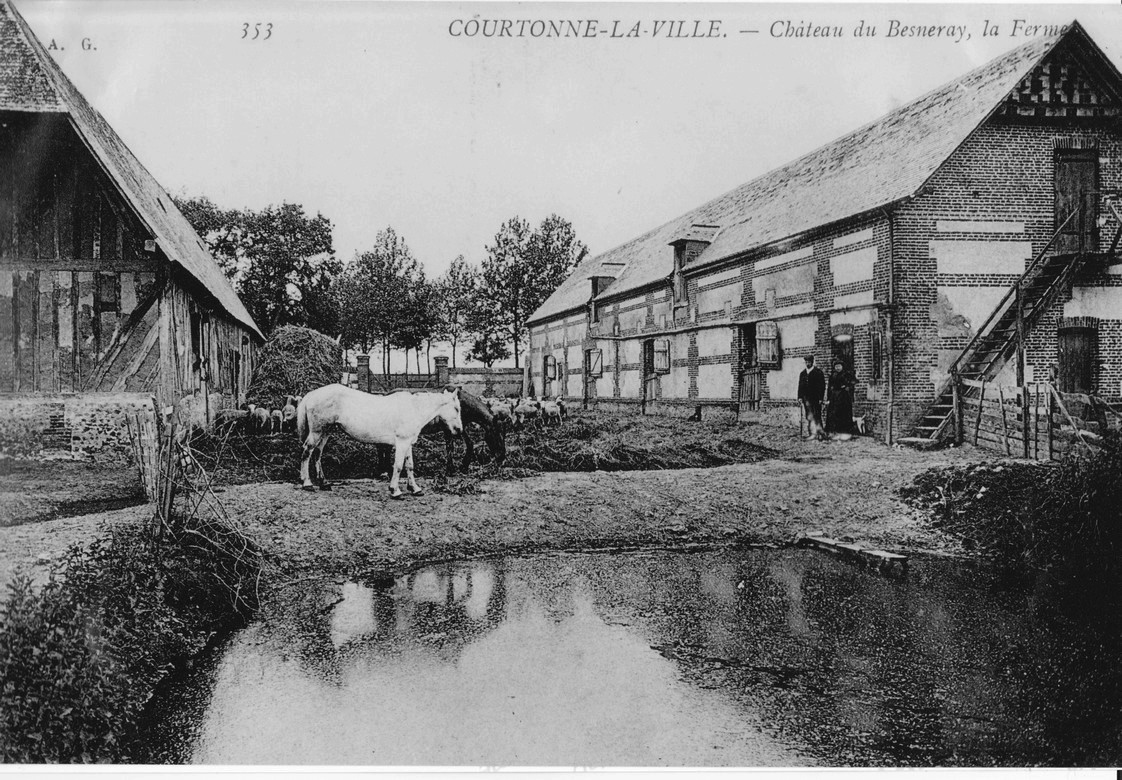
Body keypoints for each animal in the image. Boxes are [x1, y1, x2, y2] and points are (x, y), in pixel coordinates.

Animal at [298, 383, 464, 500]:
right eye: (456, 408)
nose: (459, 430)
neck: (413, 409)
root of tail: (311, 394)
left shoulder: (408, 443)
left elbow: (410, 466)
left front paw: (415, 489)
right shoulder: (401, 442)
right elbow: (398, 466)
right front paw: (395, 491)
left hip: (326, 431)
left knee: (317, 453)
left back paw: (324, 483)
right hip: (317, 431)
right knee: (307, 451)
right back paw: (307, 483)